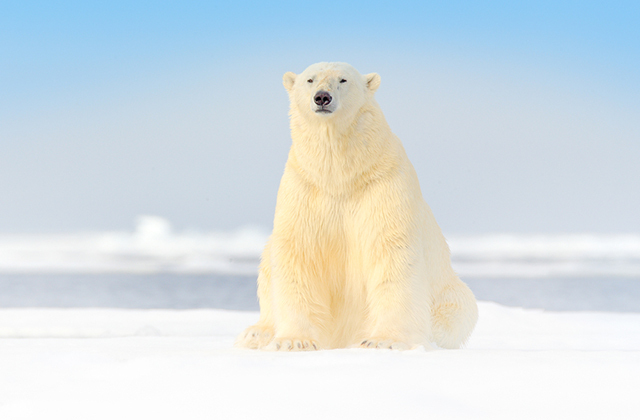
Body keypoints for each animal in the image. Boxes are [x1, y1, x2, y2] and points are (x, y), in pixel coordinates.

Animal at [238, 62, 478, 352]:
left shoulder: (382, 184)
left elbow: (392, 253)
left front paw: (384, 340)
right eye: (310, 80)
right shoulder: (304, 187)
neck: (340, 175)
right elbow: (298, 252)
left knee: (458, 310)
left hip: (447, 291)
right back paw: (256, 333)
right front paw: (294, 341)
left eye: (343, 80)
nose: (322, 97)